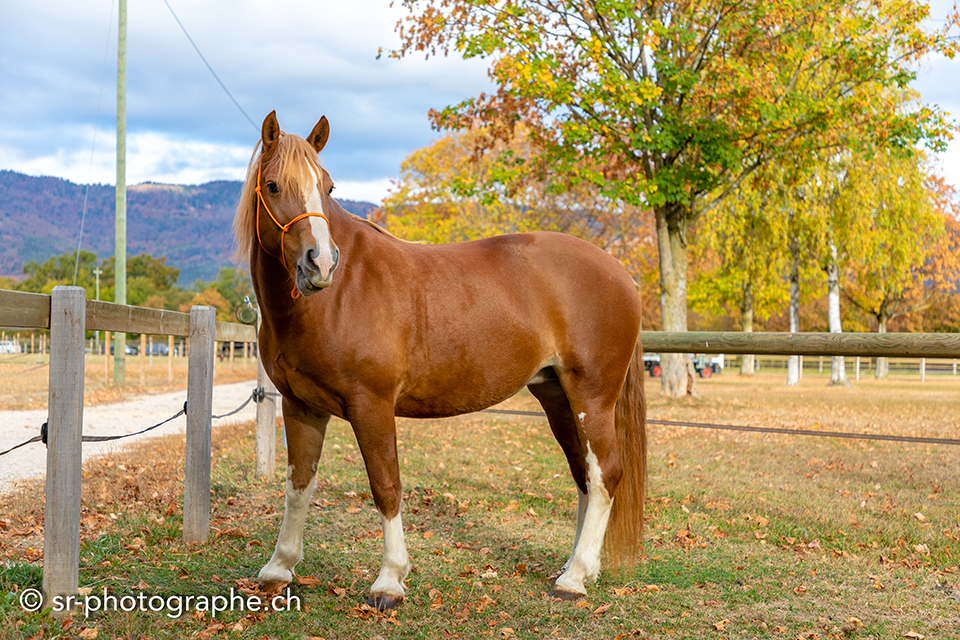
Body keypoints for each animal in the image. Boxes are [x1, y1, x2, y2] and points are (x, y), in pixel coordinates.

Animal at [234, 111, 647, 609]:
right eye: (273, 185)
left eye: (328, 186)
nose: (321, 264)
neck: (336, 296)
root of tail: (619, 271)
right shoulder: (302, 407)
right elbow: (298, 486)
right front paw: (279, 569)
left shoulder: (371, 405)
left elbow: (386, 486)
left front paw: (390, 580)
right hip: (558, 397)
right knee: (584, 474)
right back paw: (574, 568)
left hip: (592, 396)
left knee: (605, 474)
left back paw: (576, 578)